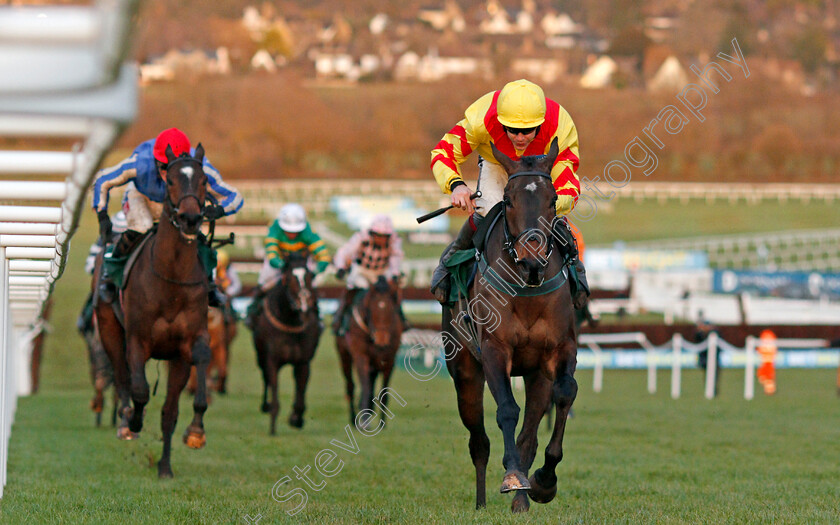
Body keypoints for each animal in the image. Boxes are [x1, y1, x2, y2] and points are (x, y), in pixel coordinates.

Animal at [94, 144, 213, 478]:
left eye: (203, 180)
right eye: (170, 180)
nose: (190, 218)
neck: (170, 279)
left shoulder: (187, 344)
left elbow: (180, 399)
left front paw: (195, 433)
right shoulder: (138, 340)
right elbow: (139, 390)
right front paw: (133, 421)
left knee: (167, 411)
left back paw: (164, 466)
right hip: (108, 328)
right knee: (123, 378)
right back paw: (125, 423)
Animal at [251, 251, 320, 434]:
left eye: (310, 276)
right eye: (288, 278)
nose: (304, 303)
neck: (290, 321)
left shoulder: (303, 362)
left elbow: (301, 394)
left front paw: (296, 419)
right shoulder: (272, 360)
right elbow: (274, 389)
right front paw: (273, 427)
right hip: (260, 356)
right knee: (265, 379)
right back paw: (265, 405)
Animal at [334, 274, 402, 426]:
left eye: (391, 310)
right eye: (370, 309)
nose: (381, 340)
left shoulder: (389, 359)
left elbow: (383, 391)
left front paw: (382, 424)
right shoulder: (361, 356)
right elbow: (365, 386)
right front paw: (364, 420)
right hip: (344, 356)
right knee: (350, 386)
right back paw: (354, 418)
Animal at [446, 138, 576, 512]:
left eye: (552, 200)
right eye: (507, 200)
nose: (532, 258)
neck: (527, 287)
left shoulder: (560, 349)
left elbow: (565, 392)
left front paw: (544, 481)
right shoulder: (494, 349)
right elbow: (506, 409)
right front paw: (513, 476)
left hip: (535, 374)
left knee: (528, 434)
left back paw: (523, 501)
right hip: (464, 372)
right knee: (479, 441)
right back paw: (481, 503)